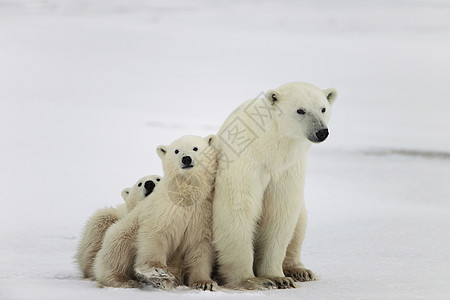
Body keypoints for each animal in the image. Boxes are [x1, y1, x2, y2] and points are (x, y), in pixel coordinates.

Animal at [93, 135, 218, 290]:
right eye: (176, 150)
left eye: (195, 148)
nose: (186, 159)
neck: (185, 194)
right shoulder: (163, 208)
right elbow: (155, 233)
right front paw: (157, 271)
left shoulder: (202, 213)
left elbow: (200, 246)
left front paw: (204, 283)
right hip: (124, 230)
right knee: (117, 248)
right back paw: (124, 280)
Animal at [213, 81, 336, 290]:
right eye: (300, 110)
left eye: (323, 108)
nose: (321, 132)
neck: (270, 149)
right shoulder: (246, 162)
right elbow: (237, 210)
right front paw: (251, 280)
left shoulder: (287, 169)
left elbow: (280, 214)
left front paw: (278, 277)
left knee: (300, 222)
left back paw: (300, 271)